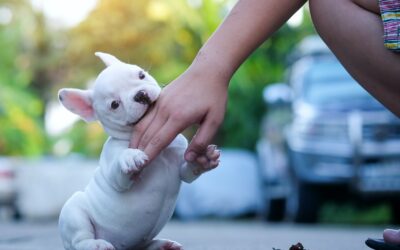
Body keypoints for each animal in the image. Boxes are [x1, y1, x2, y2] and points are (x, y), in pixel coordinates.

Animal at [58, 52, 222, 250]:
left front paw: (202, 159)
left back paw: (162, 245)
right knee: (79, 239)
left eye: (141, 75)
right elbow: (119, 170)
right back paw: (95, 244)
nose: (140, 94)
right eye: (114, 105)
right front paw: (130, 156)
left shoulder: (181, 167)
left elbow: (187, 170)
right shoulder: (116, 177)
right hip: (73, 210)